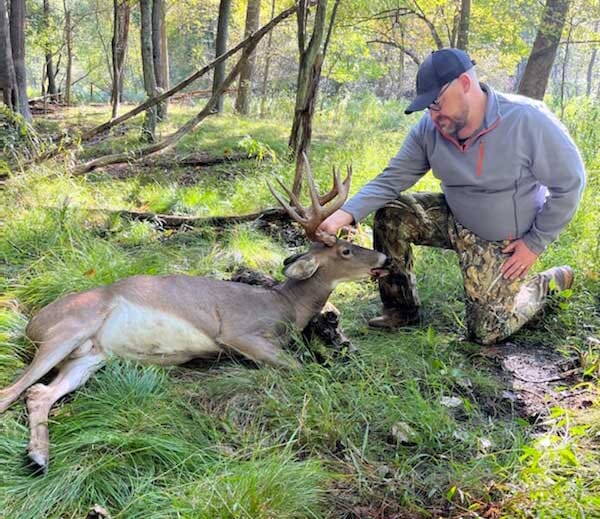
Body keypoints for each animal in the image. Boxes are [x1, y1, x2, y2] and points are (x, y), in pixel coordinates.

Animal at [0, 156, 390, 470]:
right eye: (345, 250)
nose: (384, 259)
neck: (286, 306)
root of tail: (31, 323)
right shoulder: (237, 332)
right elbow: (299, 368)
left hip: (91, 356)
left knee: (38, 394)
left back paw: (38, 457)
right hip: (68, 330)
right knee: (12, 391)